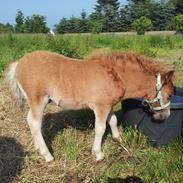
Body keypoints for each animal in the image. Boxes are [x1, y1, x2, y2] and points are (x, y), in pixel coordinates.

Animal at [6, 49, 174, 162]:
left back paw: (37, 147)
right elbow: (100, 129)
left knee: (31, 121)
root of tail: (19, 63)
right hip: (38, 100)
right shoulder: (100, 107)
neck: (115, 76)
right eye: (170, 94)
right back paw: (47, 155)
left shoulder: (108, 105)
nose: (165, 116)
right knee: (34, 123)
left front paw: (117, 139)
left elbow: (113, 121)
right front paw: (98, 153)